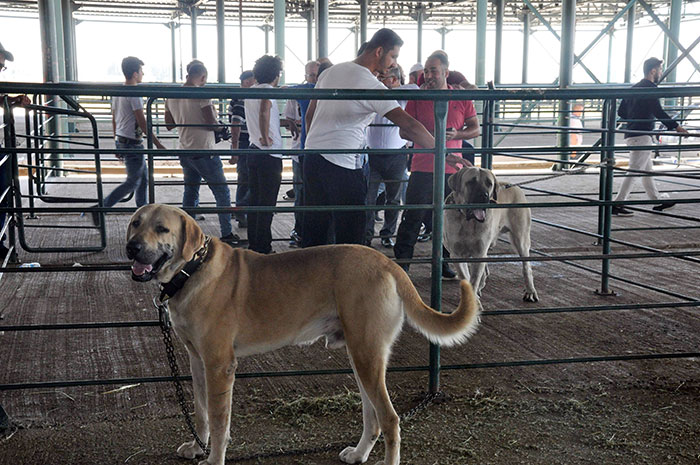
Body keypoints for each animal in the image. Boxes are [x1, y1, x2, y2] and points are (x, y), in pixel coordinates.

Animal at [126, 205, 478, 464]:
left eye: (162, 229)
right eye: (135, 223)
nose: (132, 247)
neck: (192, 270)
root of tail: (388, 263)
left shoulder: (219, 366)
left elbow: (218, 419)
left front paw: (213, 458)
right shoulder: (197, 362)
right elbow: (200, 413)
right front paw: (198, 446)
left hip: (366, 356)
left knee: (390, 419)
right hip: (362, 357)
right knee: (374, 416)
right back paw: (358, 454)